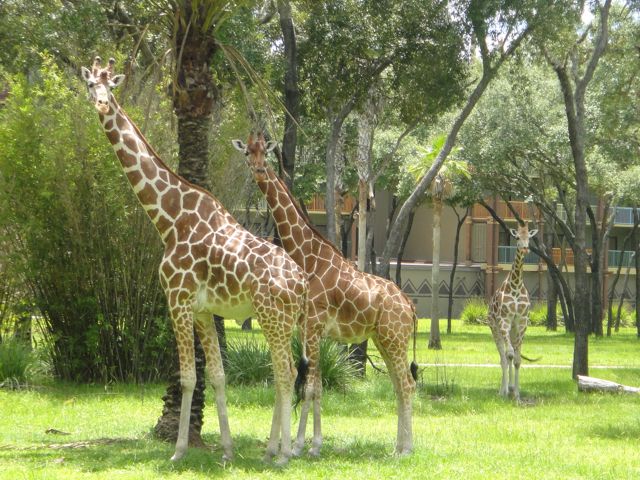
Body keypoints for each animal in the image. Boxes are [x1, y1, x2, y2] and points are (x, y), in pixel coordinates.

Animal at [82, 57, 308, 464]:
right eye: (91, 85)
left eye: (111, 86)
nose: (103, 104)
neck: (170, 219)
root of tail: (301, 282)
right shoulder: (203, 310)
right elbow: (217, 375)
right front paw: (228, 451)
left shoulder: (177, 299)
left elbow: (188, 377)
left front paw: (178, 451)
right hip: (282, 320)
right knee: (285, 371)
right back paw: (272, 451)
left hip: (271, 316)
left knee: (283, 371)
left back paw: (282, 454)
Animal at [232, 133, 418, 456]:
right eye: (247, 154)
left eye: (265, 154)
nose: (259, 170)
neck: (308, 257)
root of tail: (409, 305)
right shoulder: (309, 329)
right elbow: (316, 387)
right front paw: (312, 444)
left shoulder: (314, 326)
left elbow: (309, 388)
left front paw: (300, 446)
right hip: (384, 339)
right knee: (399, 384)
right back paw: (398, 446)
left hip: (394, 338)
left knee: (406, 384)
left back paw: (406, 449)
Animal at [488, 223, 536, 400]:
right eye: (516, 237)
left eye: (529, 237)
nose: (525, 248)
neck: (515, 286)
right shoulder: (504, 321)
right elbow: (508, 355)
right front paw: (507, 391)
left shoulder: (522, 322)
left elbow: (517, 359)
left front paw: (517, 394)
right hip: (495, 328)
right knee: (503, 357)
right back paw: (502, 391)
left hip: (513, 330)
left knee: (510, 355)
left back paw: (509, 388)